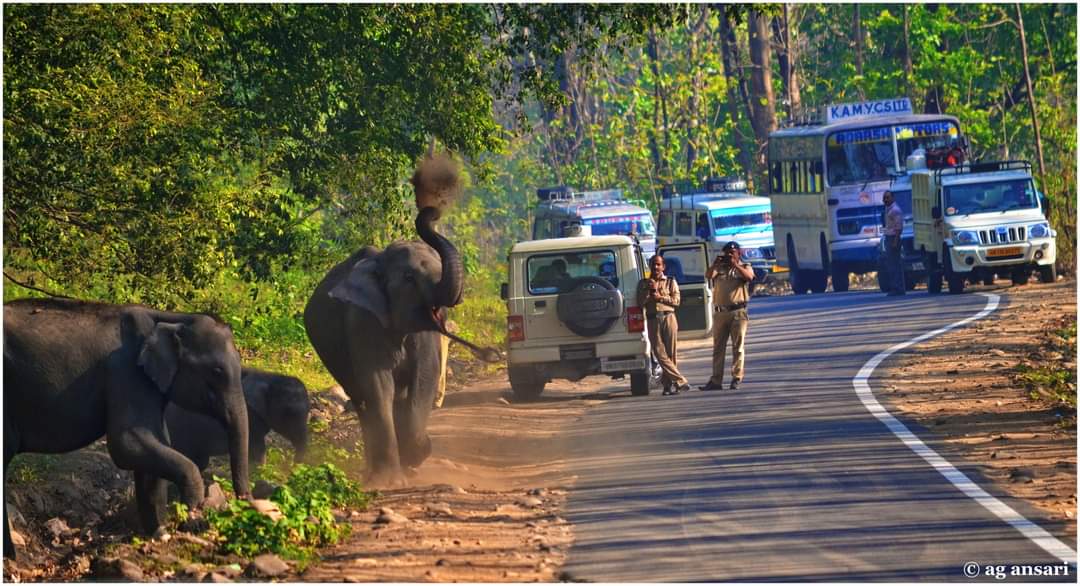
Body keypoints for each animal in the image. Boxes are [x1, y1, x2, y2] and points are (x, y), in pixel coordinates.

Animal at [3, 298, 250, 558]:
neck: (171, 318)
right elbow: (127, 444)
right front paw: (192, 511)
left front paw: (160, 534)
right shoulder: (126, 373)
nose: (245, 506)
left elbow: (157, 444)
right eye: (217, 371)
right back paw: (11, 557)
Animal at [165, 368, 310, 471]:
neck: (269, 376)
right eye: (289, 414)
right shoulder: (250, 417)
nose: (292, 469)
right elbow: (256, 446)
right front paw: (260, 471)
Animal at [304, 155, 498, 487]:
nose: (431, 206)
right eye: (409, 277)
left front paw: (416, 455)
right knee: (363, 399)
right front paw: (393, 478)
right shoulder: (363, 321)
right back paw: (376, 471)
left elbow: (424, 378)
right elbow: (378, 383)